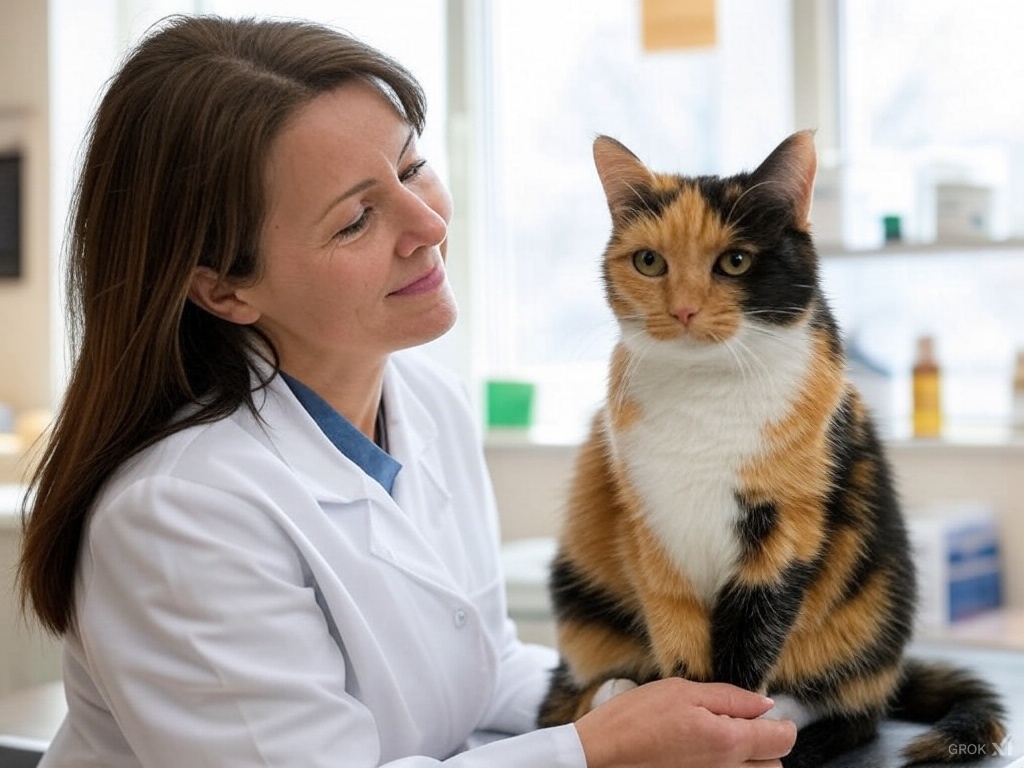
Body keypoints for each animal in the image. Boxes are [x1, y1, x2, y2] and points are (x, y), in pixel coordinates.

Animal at [540, 132, 1003, 768]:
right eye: (649, 261)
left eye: (736, 261)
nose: (683, 309)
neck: (706, 392)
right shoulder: (651, 528)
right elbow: (679, 640)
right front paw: (685, 728)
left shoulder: (786, 526)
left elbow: (749, 646)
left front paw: (736, 731)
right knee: (557, 703)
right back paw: (617, 690)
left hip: (878, 599)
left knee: (859, 714)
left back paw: (789, 719)